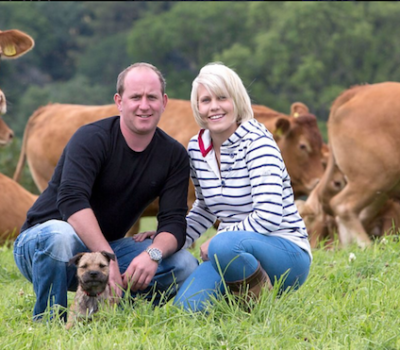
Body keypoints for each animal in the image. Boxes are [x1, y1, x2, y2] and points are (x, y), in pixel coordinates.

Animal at [298, 81, 400, 249]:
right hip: (373, 176)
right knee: (343, 206)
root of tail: (359, 90)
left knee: (358, 215)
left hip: (382, 185)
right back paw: (367, 247)